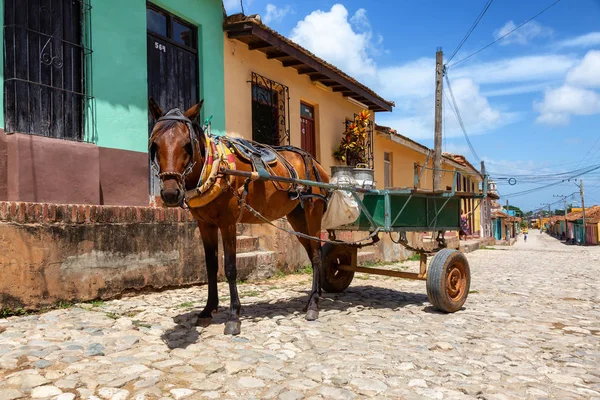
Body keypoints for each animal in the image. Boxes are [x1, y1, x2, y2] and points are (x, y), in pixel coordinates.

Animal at [148, 98, 330, 336]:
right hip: (297, 219)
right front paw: (208, 310)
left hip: (312, 213)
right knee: (311, 252)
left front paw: (234, 316)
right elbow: (211, 266)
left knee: (317, 255)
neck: (216, 169)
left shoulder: (228, 223)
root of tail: (318, 165)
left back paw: (314, 305)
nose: (170, 194)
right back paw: (312, 298)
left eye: (188, 145)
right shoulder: (205, 225)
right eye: (155, 145)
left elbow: (230, 267)